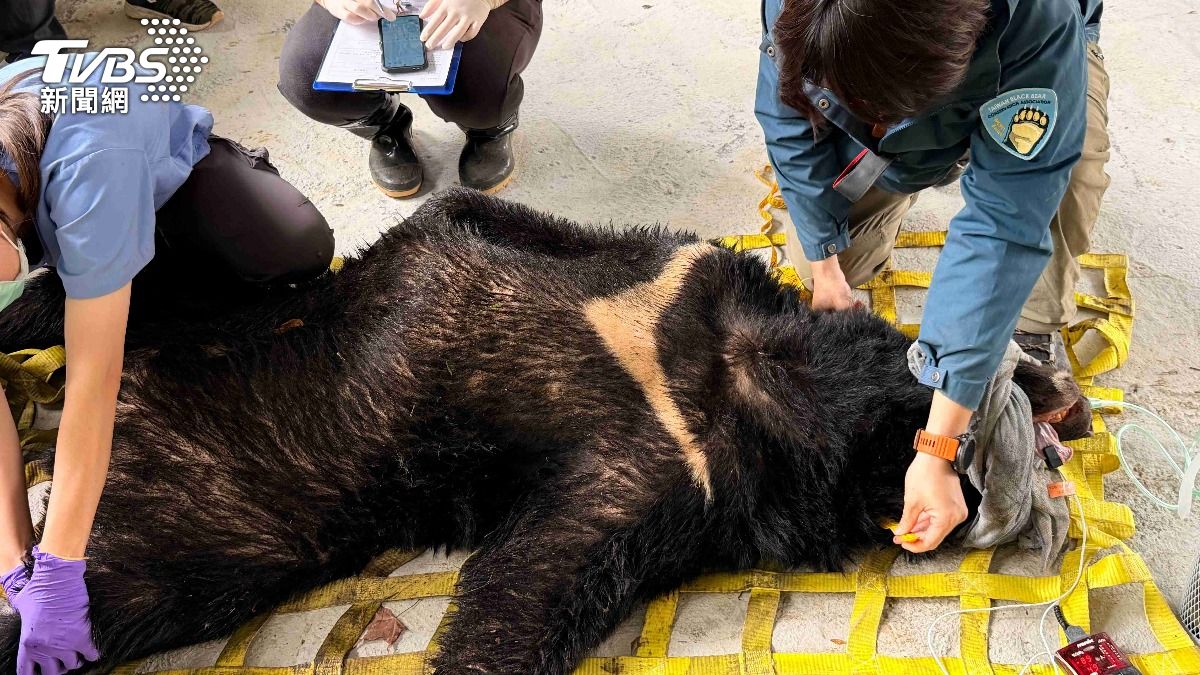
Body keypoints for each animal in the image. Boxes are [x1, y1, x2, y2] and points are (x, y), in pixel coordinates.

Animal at [0, 189, 1088, 674]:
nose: (1047, 435)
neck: (752, 371)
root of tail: (126, 408)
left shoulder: (655, 479)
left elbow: (529, 584)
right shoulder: (673, 280)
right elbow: (465, 214)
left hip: (208, 523)